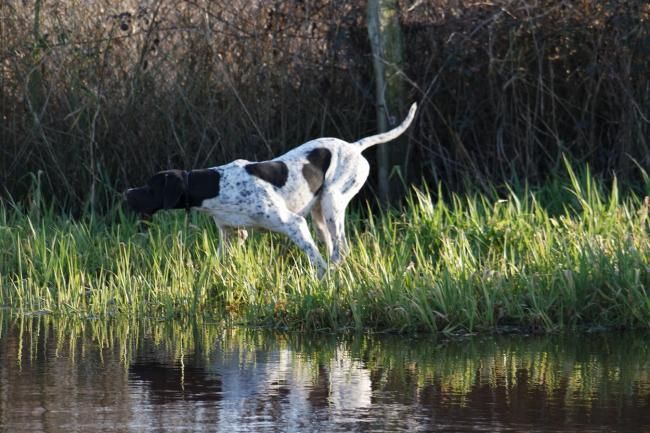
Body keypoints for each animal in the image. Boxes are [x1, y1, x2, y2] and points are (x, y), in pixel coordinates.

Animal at [126, 103, 416, 276]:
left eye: (150, 187)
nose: (127, 193)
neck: (216, 185)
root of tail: (355, 146)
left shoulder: (294, 223)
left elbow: (313, 257)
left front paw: (320, 279)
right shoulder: (232, 235)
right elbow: (219, 261)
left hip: (333, 202)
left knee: (340, 248)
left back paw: (334, 273)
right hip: (320, 214)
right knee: (334, 245)